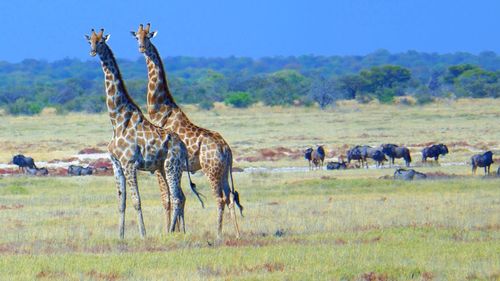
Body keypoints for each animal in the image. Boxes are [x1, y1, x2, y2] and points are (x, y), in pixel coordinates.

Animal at [85, 28, 203, 237]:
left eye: (100, 41)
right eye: (89, 41)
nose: (92, 51)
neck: (117, 120)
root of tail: (181, 145)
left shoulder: (129, 163)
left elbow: (136, 201)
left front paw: (142, 234)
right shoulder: (116, 164)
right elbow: (121, 202)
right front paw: (120, 235)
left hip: (171, 166)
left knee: (177, 197)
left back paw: (170, 232)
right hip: (164, 168)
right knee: (179, 196)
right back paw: (176, 231)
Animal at [132, 24, 243, 238]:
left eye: (148, 37)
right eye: (136, 37)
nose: (141, 47)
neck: (160, 110)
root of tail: (226, 149)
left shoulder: (160, 167)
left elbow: (167, 199)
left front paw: (169, 230)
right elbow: (179, 198)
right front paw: (179, 230)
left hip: (211, 170)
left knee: (219, 198)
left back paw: (218, 233)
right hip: (224, 171)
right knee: (230, 197)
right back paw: (237, 233)